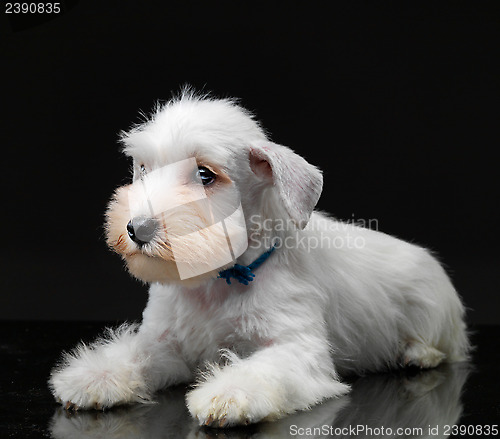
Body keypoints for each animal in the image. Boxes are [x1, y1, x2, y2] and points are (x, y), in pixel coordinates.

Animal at [47, 92, 468, 426]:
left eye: (205, 175)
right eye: (143, 168)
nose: (137, 228)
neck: (218, 282)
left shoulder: (295, 348)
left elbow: (261, 369)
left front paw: (229, 395)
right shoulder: (167, 345)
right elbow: (135, 353)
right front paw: (92, 376)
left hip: (433, 309)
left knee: (445, 346)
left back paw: (416, 354)